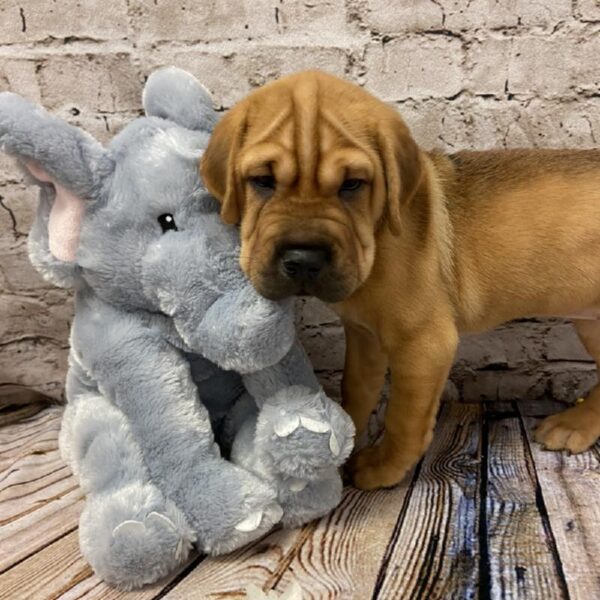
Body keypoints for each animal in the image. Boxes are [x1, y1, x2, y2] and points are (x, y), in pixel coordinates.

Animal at [200, 71, 600, 492]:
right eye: (262, 181)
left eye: (352, 185)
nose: (304, 261)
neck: (375, 242)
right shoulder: (364, 336)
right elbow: (356, 391)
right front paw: (345, 441)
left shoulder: (424, 345)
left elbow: (403, 418)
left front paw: (382, 468)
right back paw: (578, 425)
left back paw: (573, 425)